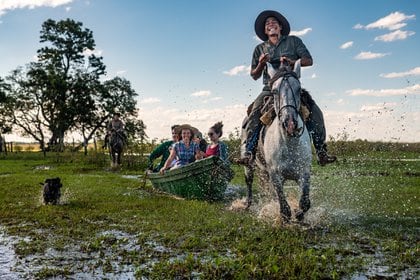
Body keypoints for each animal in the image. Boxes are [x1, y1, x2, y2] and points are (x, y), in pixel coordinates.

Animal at [243, 60, 312, 222]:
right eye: (274, 91)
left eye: (299, 89)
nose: (290, 123)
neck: (289, 144)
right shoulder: (275, 175)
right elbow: (284, 209)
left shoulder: (304, 173)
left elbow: (305, 203)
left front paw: (299, 214)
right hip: (249, 165)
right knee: (249, 181)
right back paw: (247, 204)